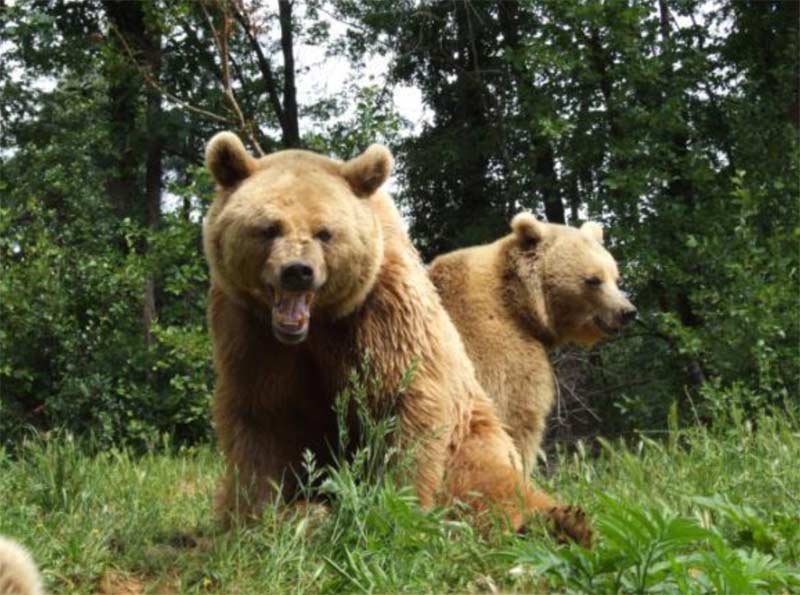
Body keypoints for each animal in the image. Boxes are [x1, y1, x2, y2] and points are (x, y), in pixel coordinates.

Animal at [200, 132, 588, 544]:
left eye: (325, 232)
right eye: (269, 227)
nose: (298, 271)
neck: (317, 324)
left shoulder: (382, 312)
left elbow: (407, 402)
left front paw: (397, 508)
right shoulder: (250, 335)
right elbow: (262, 422)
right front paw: (262, 516)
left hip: (473, 431)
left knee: (490, 481)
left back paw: (559, 522)